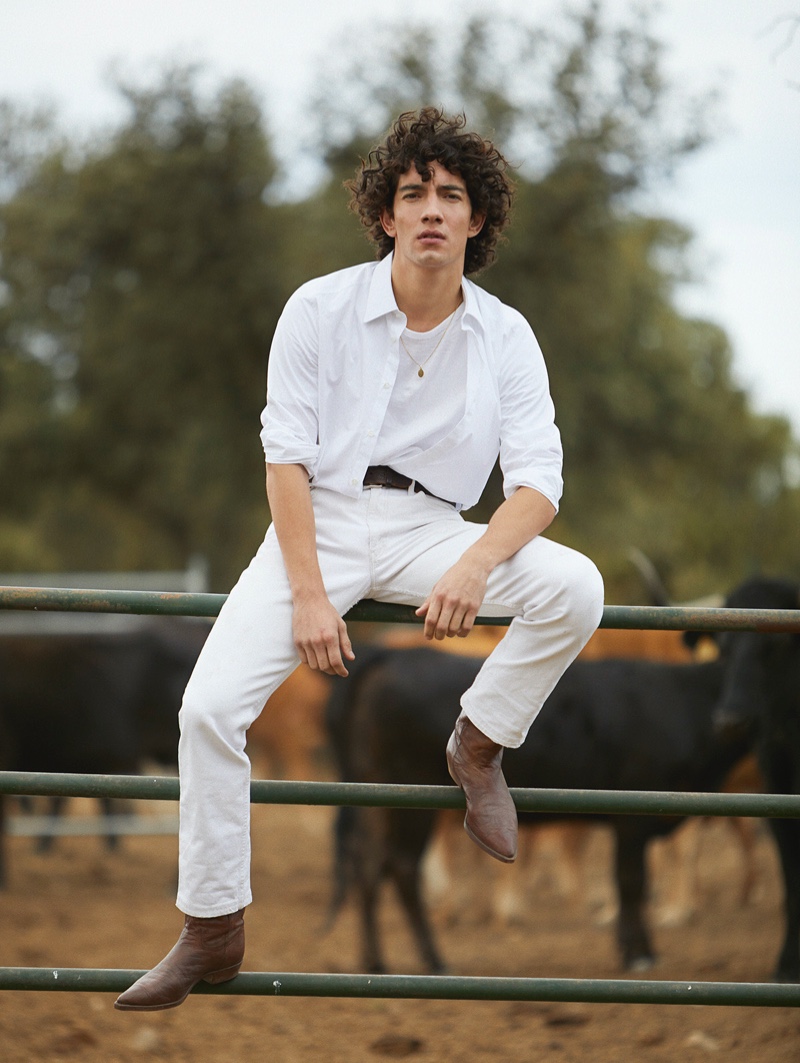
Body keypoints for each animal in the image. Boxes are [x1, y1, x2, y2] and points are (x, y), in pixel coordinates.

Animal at [322, 642, 747, 973]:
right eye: (729, 651)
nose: (731, 718)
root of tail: (392, 655)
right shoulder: (631, 821)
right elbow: (631, 883)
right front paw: (637, 954)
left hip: (380, 795)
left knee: (373, 864)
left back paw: (380, 961)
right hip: (407, 795)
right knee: (399, 865)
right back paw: (429, 959)